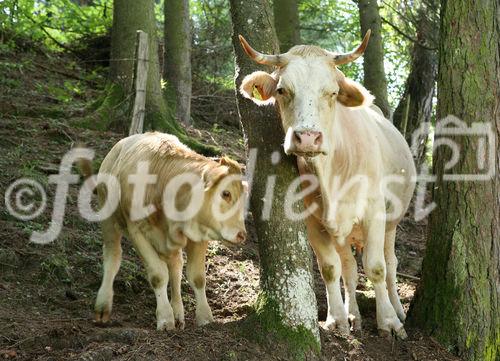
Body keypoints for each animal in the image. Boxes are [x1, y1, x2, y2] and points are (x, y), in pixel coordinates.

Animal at [79, 131, 247, 330]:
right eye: (226, 193)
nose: (242, 234)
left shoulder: (198, 235)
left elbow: (197, 277)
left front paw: (205, 317)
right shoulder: (136, 231)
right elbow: (158, 275)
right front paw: (165, 318)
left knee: (176, 266)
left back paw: (178, 313)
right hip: (109, 218)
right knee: (113, 256)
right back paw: (103, 306)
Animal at [240, 31, 416, 338]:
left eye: (332, 92)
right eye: (282, 90)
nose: (308, 138)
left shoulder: (374, 211)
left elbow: (377, 268)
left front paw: (389, 322)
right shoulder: (312, 220)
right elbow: (331, 268)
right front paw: (337, 319)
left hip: (392, 222)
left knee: (391, 264)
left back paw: (398, 310)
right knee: (348, 267)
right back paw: (354, 315)